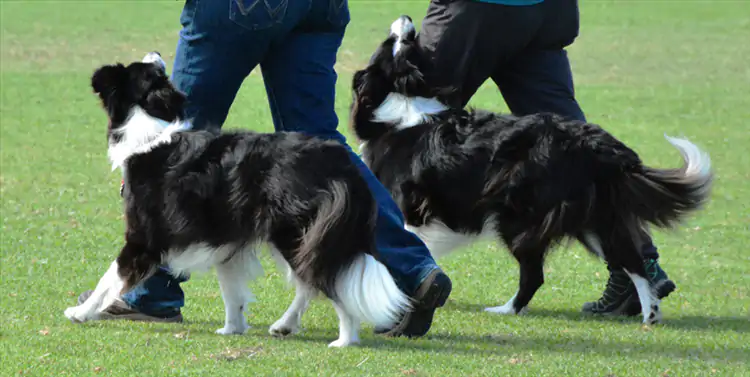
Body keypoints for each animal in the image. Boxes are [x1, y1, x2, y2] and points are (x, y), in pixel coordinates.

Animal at [350, 16, 712, 324]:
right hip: (597, 218)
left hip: (519, 218)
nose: (406, 19)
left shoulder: (406, 209)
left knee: (534, 275)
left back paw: (506, 309)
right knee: (633, 261)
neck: (402, 98)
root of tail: (594, 145)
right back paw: (649, 313)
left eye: (393, 41)